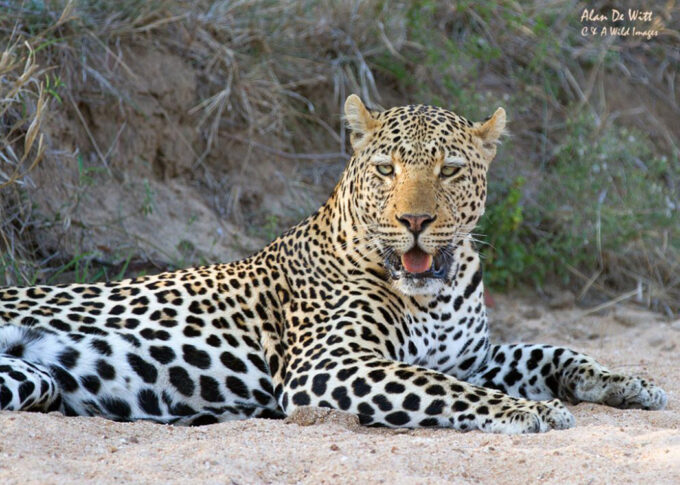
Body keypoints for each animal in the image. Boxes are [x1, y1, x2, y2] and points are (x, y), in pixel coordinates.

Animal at [0, 95, 666, 433]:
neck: (438, 291)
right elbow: (443, 389)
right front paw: (528, 410)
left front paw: (629, 382)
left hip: (36, 379)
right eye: (386, 170)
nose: (415, 221)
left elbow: (555, 351)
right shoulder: (331, 364)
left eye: (450, 169)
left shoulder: (472, 356)